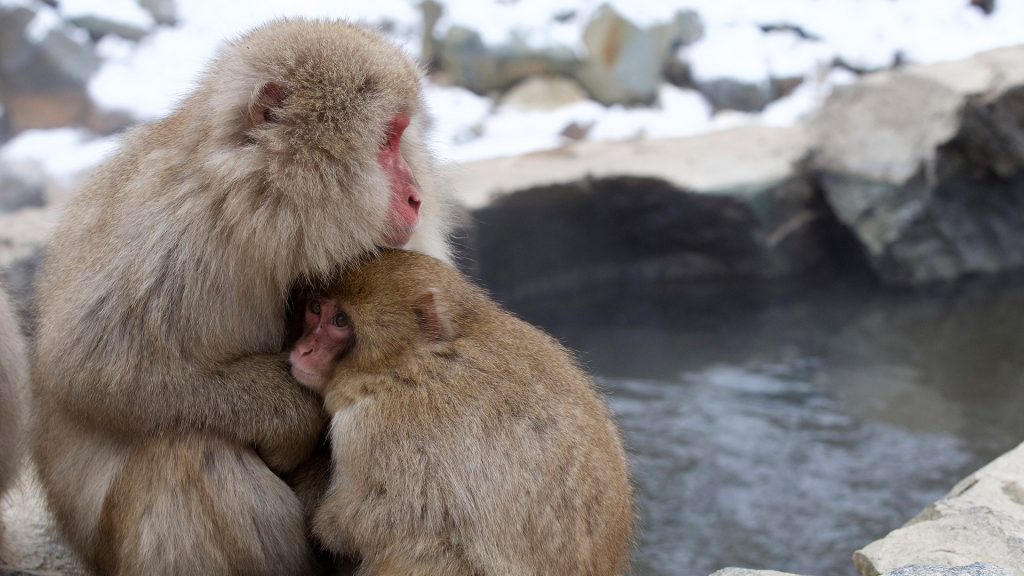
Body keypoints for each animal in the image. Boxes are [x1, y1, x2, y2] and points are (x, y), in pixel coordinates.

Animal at [288, 250, 634, 573]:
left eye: (340, 321)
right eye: (315, 309)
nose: (304, 349)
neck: (410, 361)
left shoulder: (380, 428)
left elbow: (393, 514)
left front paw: (330, 525)